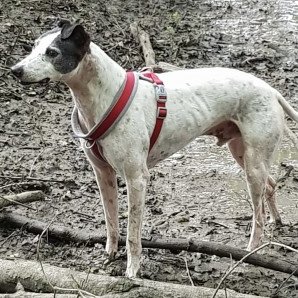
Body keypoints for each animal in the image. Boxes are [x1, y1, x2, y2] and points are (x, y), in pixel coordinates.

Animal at [11, 20, 298, 278]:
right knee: (271, 186)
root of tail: (271, 91)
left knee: (257, 215)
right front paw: (109, 254)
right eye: (34, 47)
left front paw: (132, 270)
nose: (15, 70)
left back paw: (250, 252)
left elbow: (133, 233)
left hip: (252, 165)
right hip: (244, 154)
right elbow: (111, 221)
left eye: (52, 53)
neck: (104, 97)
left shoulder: (137, 179)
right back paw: (276, 221)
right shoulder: (103, 175)